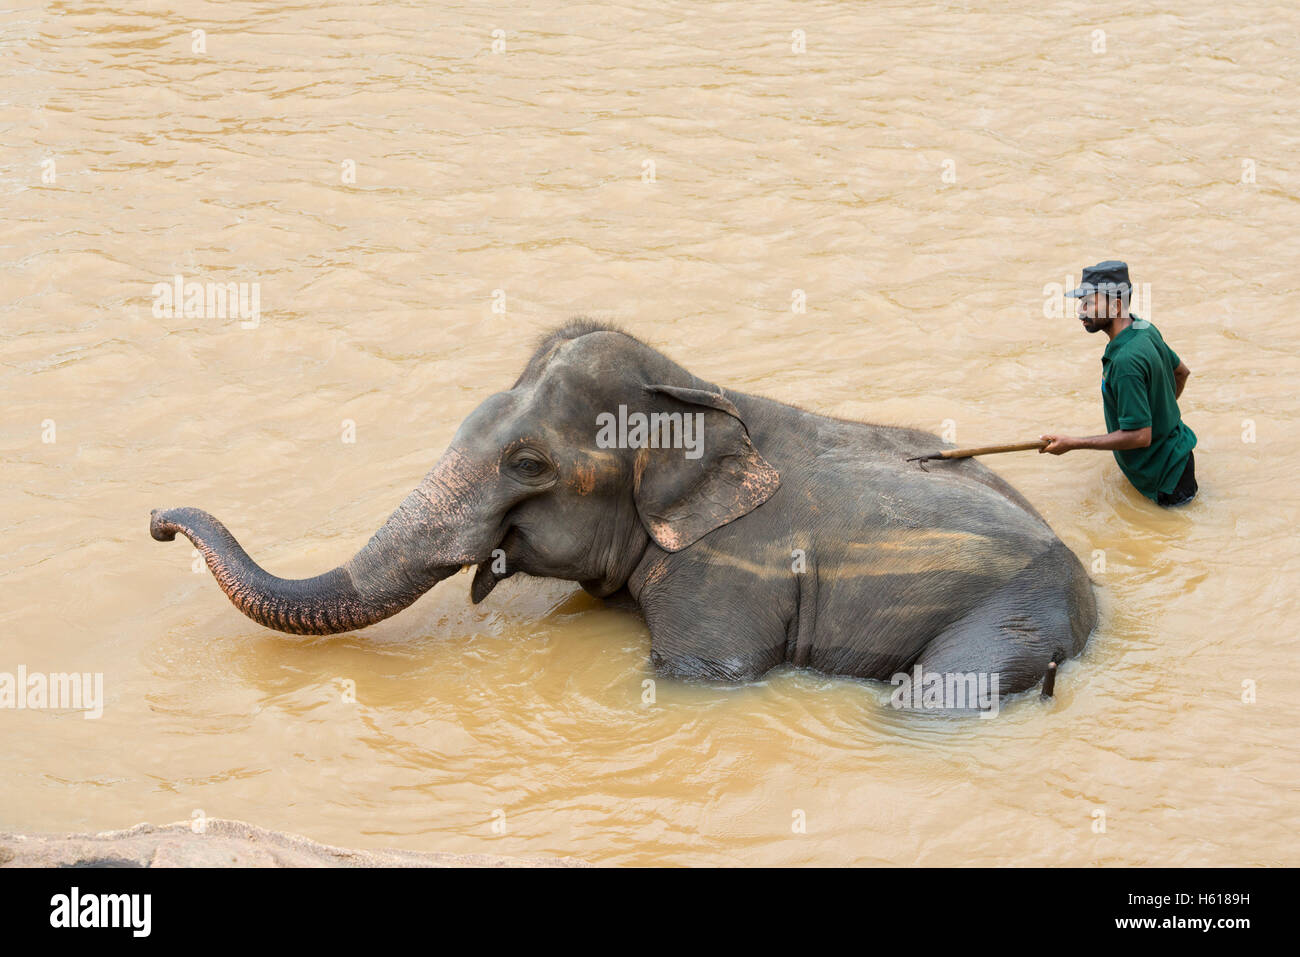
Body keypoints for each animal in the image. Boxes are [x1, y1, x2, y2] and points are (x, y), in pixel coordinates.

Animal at [157, 317, 1102, 696]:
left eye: (528, 463)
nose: (161, 522)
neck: (698, 388)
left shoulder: (723, 582)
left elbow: (700, 676)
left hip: (1010, 614)